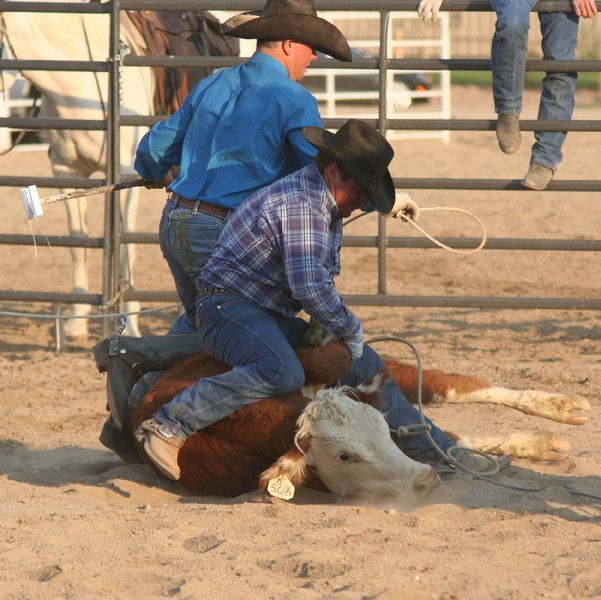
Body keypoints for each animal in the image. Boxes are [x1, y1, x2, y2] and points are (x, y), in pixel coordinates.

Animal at [1, 9, 155, 338]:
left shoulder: (129, 171)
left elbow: (128, 246)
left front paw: (131, 321)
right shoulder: (65, 169)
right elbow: (78, 243)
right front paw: (76, 321)